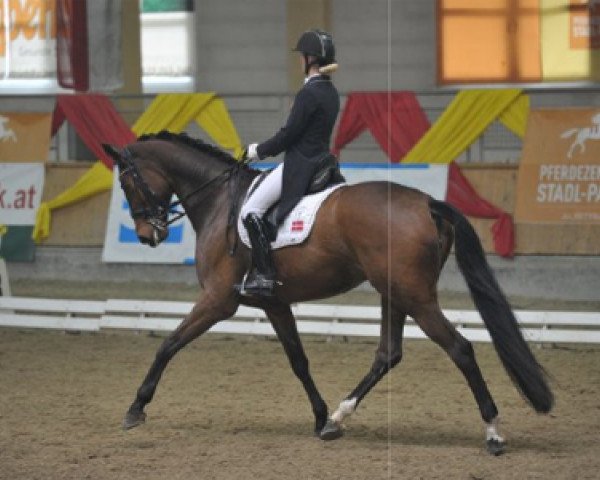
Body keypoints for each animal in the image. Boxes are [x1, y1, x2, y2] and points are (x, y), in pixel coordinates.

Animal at [102, 131, 552, 454]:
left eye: (126, 182)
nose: (147, 235)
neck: (217, 201)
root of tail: (426, 202)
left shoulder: (218, 300)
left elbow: (168, 344)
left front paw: (135, 408)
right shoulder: (274, 303)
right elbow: (299, 362)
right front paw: (319, 419)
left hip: (416, 297)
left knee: (460, 349)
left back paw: (493, 433)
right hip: (395, 292)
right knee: (388, 354)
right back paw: (338, 417)